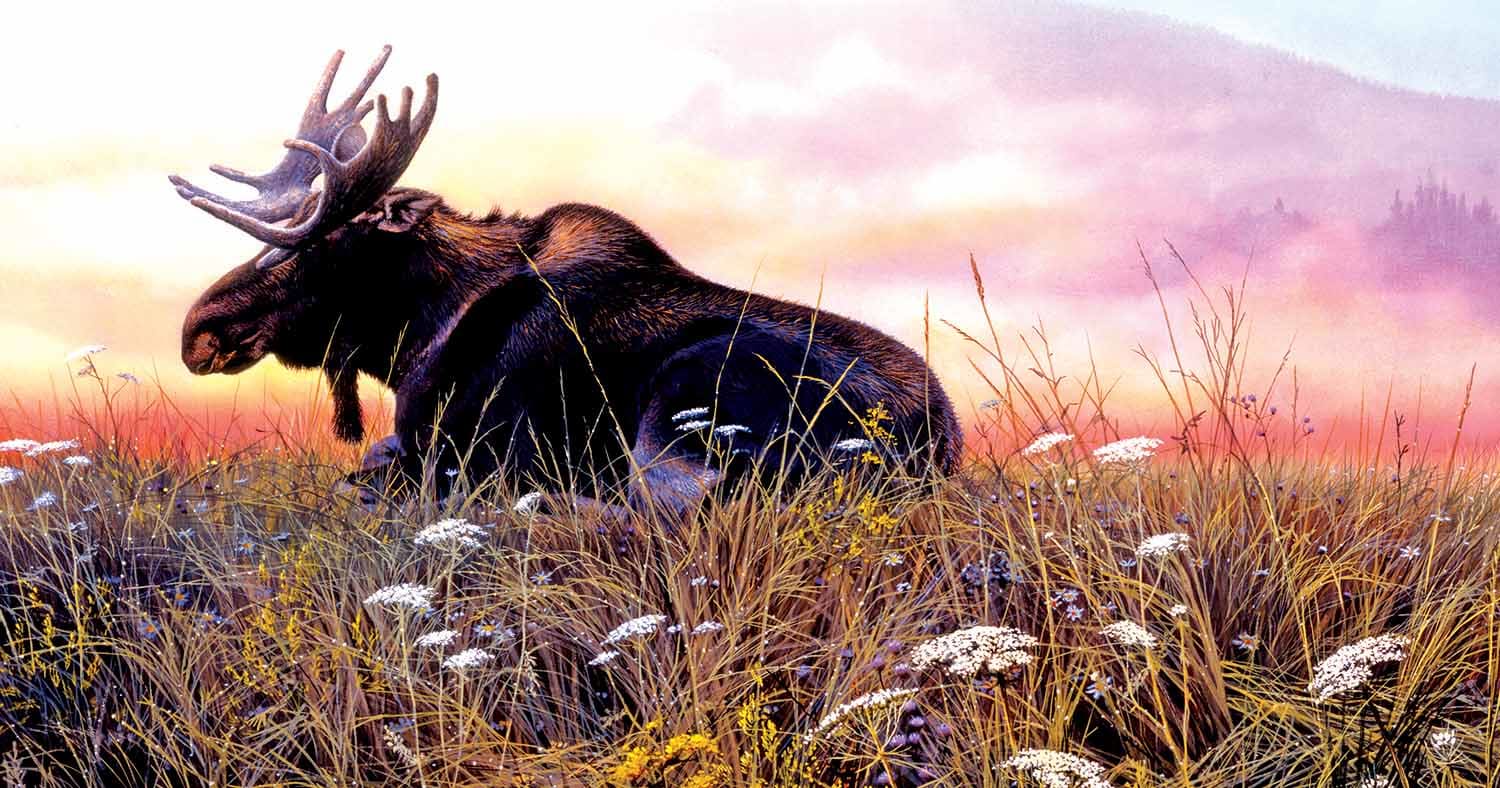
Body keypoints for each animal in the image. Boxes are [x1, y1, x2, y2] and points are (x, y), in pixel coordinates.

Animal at [172, 47, 961, 519]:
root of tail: (933, 445)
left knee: (664, 511)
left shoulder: (467, 444)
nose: (198, 329)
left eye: (329, 238)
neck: (415, 338)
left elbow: (372, 469)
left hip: (684, 411)